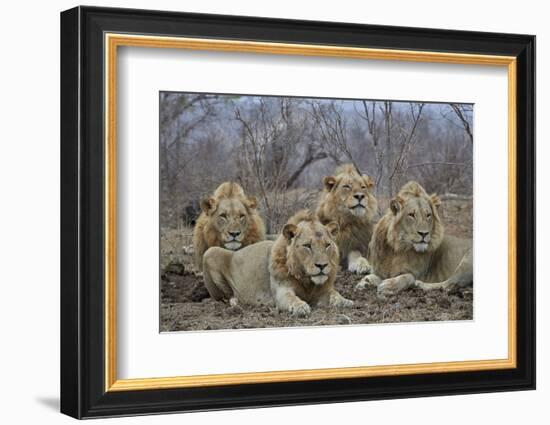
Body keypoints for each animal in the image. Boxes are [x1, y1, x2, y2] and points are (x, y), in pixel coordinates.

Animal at [202, 209, 354, 314]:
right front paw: (300, 307)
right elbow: (291, 298)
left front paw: (345, 301)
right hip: (210, 252)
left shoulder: (324, 290)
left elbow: (335, 295)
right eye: (307, 246)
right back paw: (236, 302)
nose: (322, 266)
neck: (306, 280)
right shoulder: (281, 291)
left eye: (327, 245)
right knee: (223, 297)